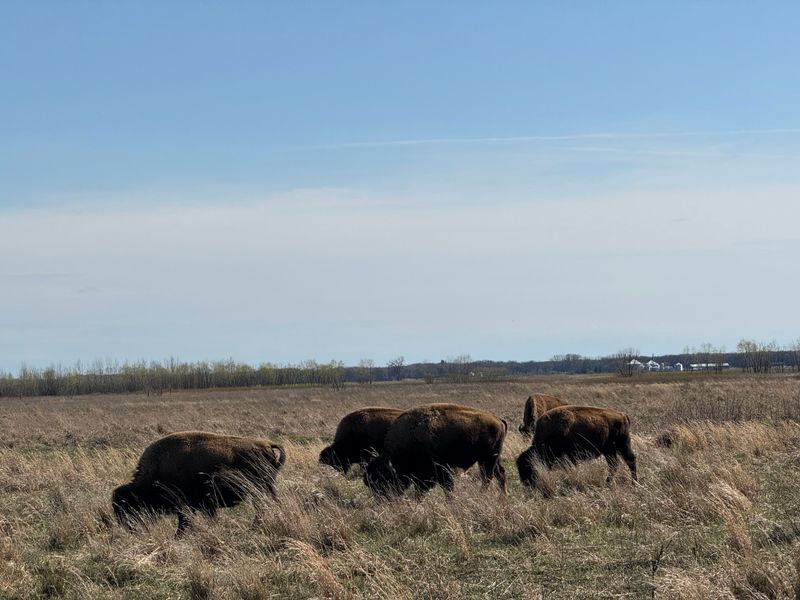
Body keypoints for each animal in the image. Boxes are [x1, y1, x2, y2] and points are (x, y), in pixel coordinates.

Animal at [112, 431, 286, 534]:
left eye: (127, 507)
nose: (128, 529)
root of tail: (267, 444)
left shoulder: (186, 506)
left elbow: (184, 523)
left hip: (261, 489)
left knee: (264, 506)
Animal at [364, 403, 508, 499]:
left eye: (382, 482)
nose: (381, 500)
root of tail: (498, 420)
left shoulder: (441, 470)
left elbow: (447, 487)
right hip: (491, 459)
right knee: (499, 473)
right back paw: (503, 495)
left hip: (488, 459)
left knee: (487, 477)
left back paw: (482, 494)